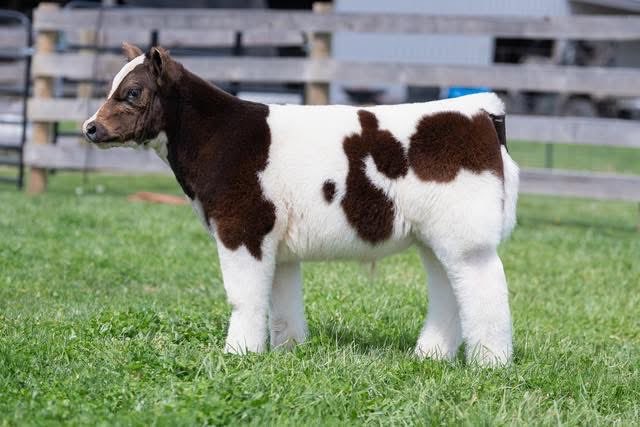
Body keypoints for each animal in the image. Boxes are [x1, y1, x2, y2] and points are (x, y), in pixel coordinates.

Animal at [83, 43, 519, 366]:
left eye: (133, 92)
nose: (90, 127)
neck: (219, 136)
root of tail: (480, 109)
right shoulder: (276, 241)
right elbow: (281, 298)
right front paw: (287, 349)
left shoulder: (242, 228)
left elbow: (244, 296)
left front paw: (239, 352)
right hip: (436, 236)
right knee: (449, 289)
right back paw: (429, 355)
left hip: (467, 237)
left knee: (484, 289)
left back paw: (490, 363)